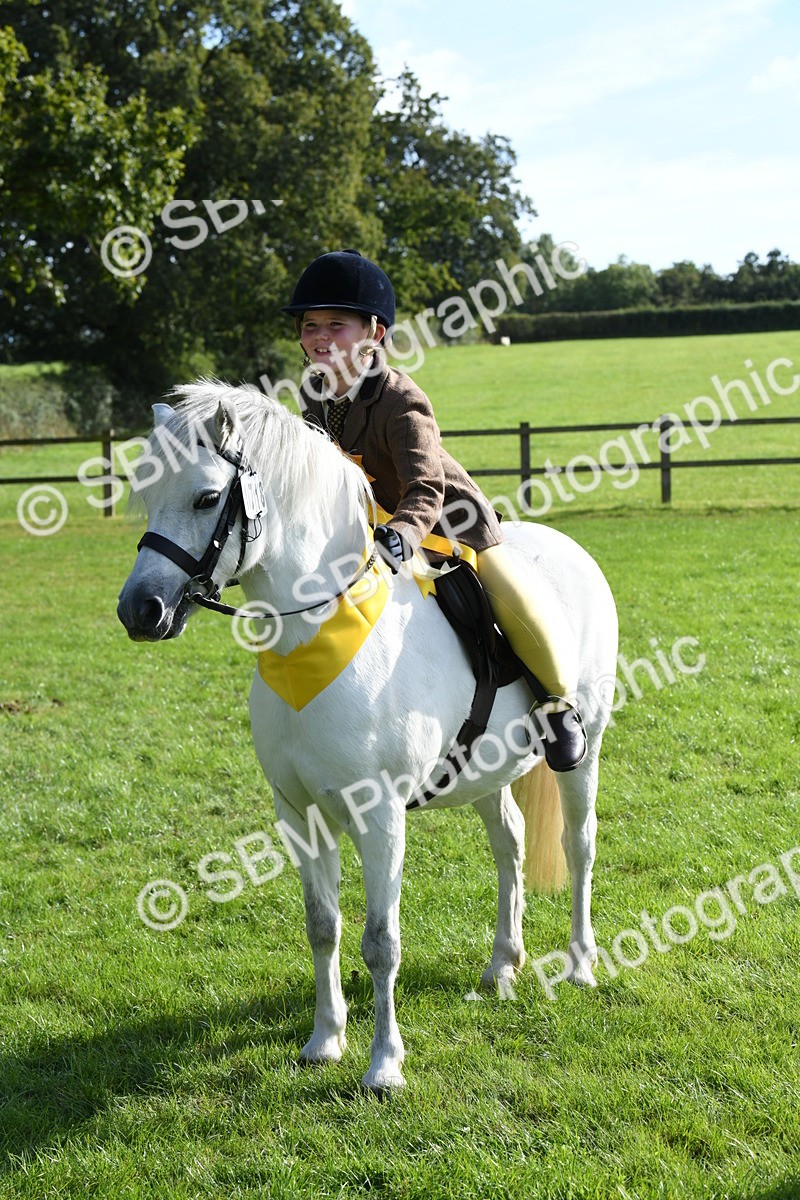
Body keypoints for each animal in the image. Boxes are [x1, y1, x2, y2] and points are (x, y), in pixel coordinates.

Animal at [117, 380, 618, 1094]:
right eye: (146, 494)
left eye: (207, 498)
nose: (140, 610)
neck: (316, 634)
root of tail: (566, 548)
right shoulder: (297, 812)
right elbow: (322, 926)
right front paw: (325, 1040)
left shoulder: (379, 816)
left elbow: (381, 942)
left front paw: (384, 1065)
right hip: (486, 768)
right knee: (510, 844)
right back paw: (503, 964)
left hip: (586, 748)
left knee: (579, 845)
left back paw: (579, 964)